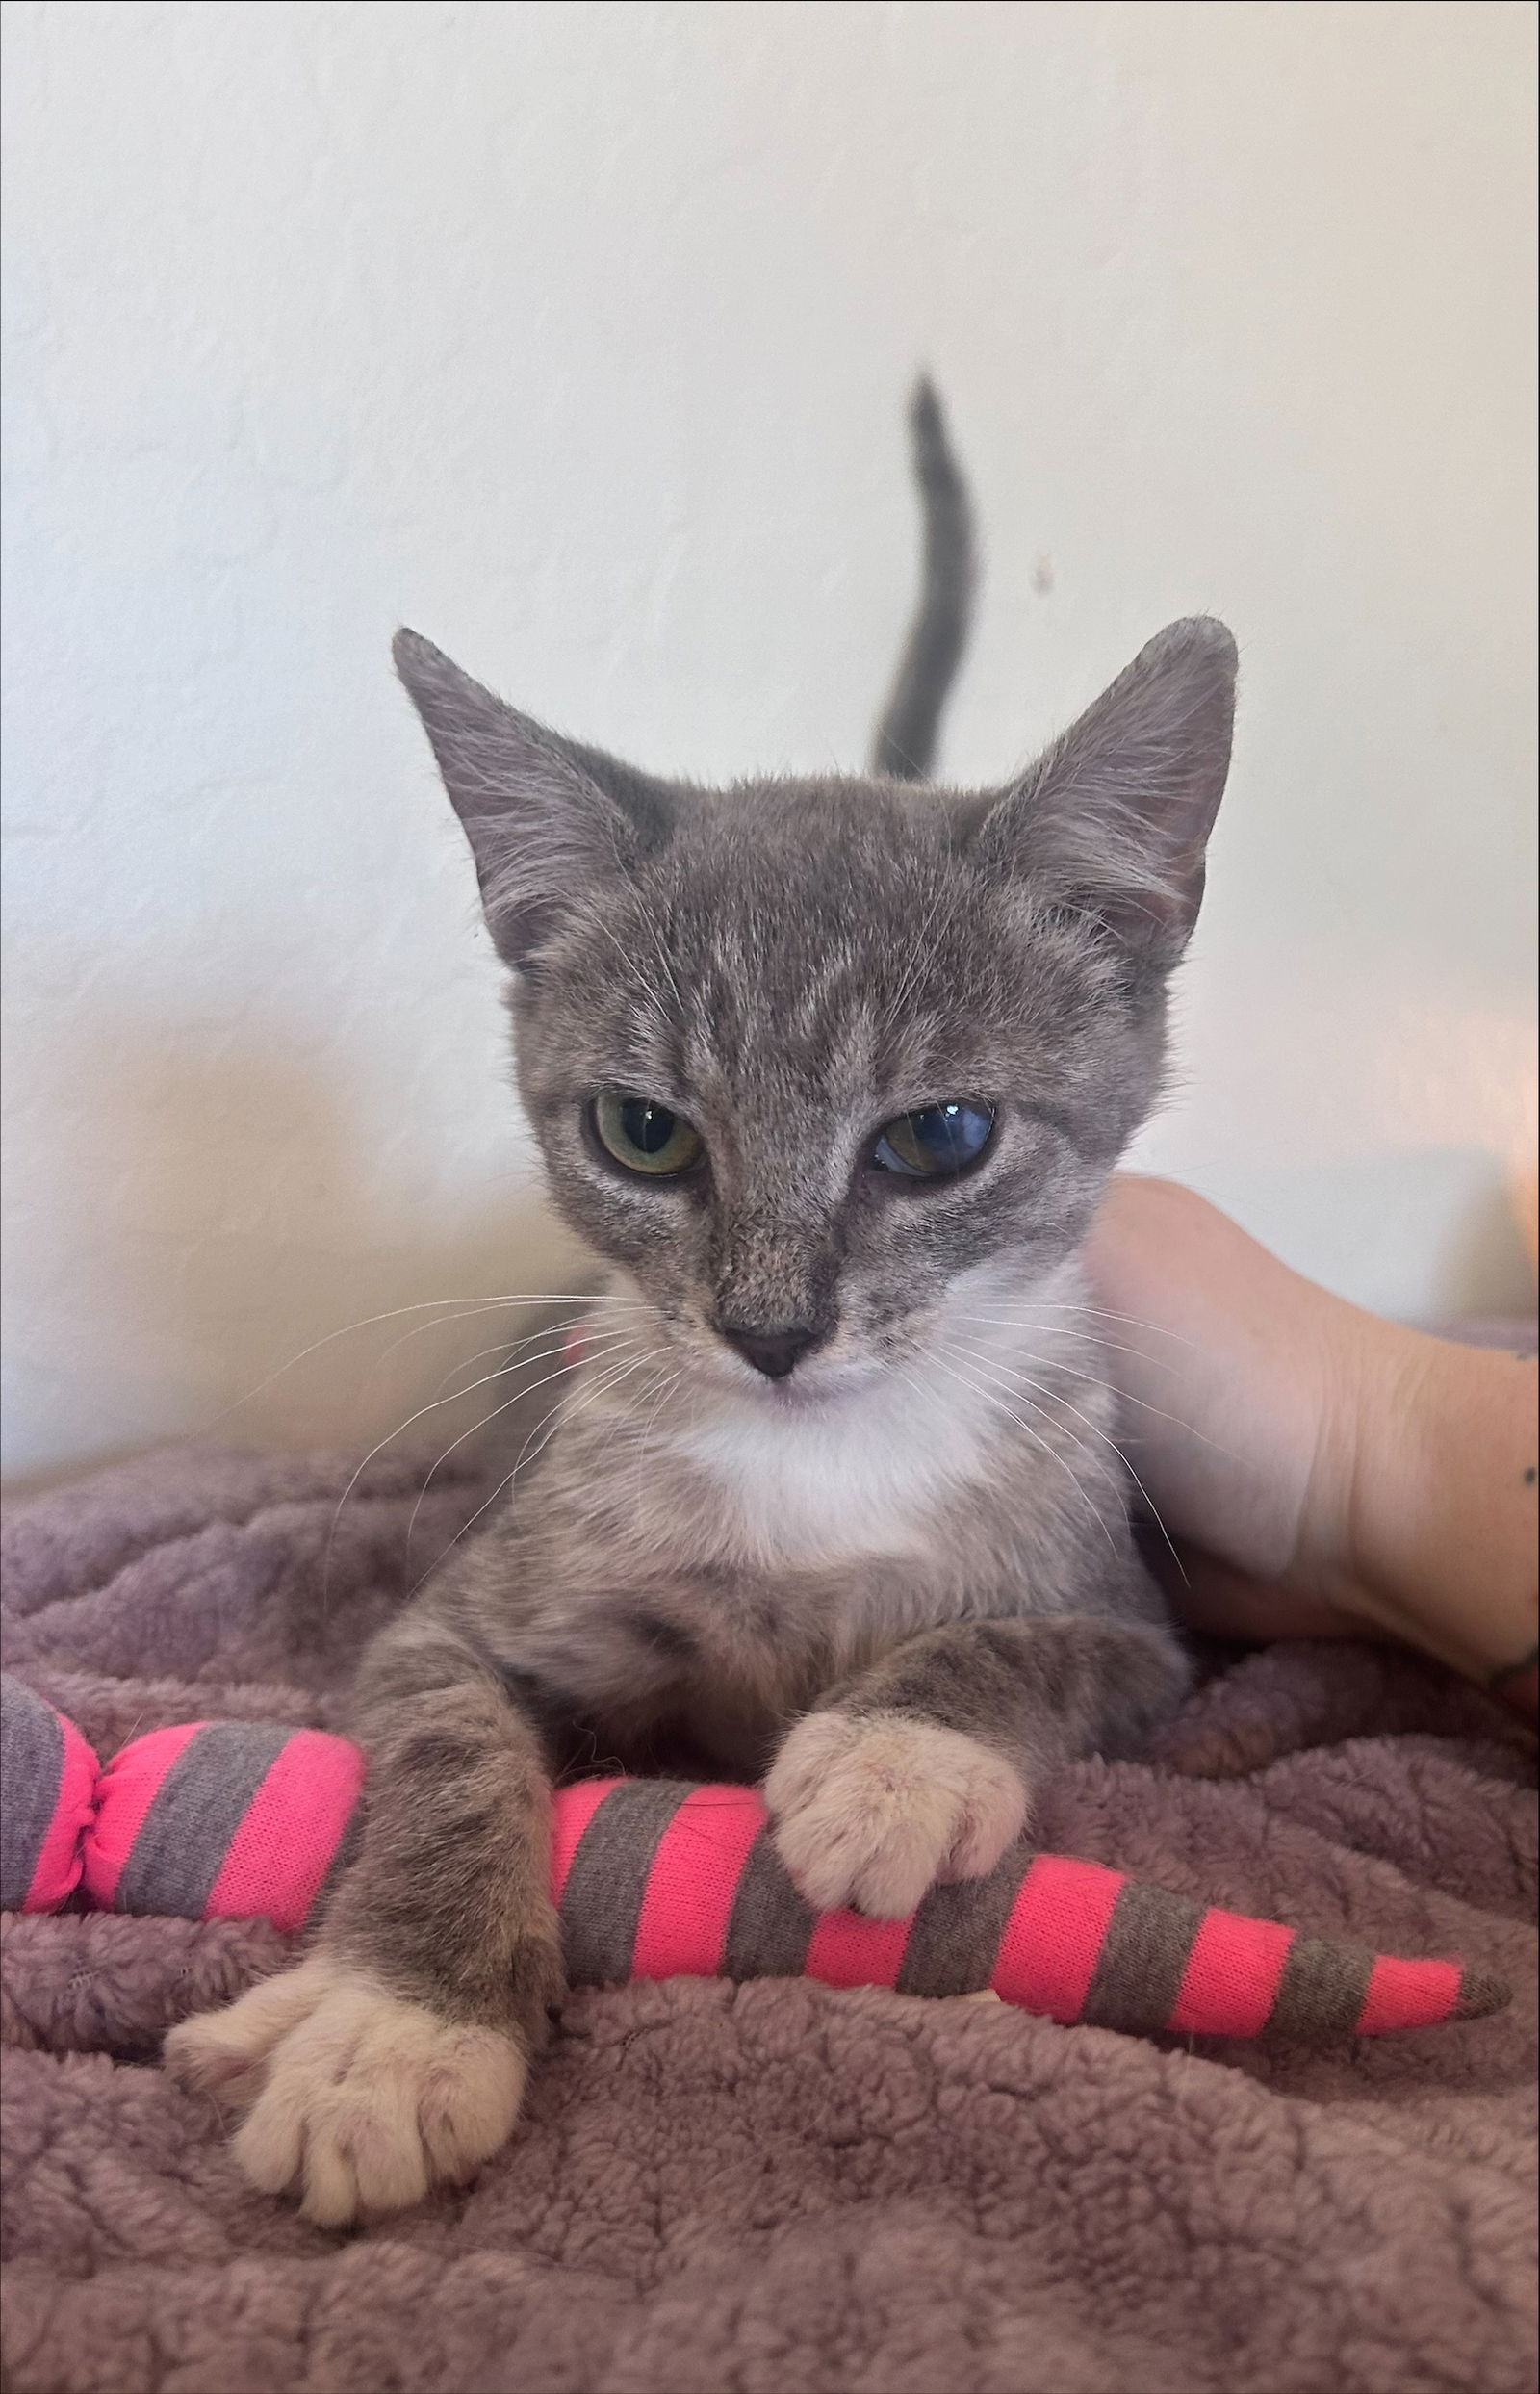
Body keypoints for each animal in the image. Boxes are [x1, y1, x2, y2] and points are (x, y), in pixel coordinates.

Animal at [165, 377, 1245, 2221]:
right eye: (644, 1131)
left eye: (939, 1136)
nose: (771, 1329)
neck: (816, 1465)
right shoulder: (455, 1613)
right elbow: (447, 1753)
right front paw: (396, 2023)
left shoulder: (1135, 1620)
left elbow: (1021, 1643)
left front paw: (893, 1760)